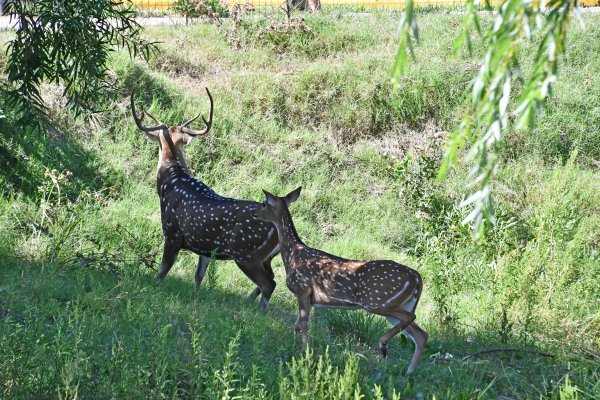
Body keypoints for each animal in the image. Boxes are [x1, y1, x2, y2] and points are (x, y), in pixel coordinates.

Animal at [131, 88, 282, 310]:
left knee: (269, 283)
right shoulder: (205, 247)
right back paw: (248, 302)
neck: (171, 182)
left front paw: (153, 289)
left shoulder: (172, 232)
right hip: (265, 257)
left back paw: (258, 311)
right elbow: (198, 276)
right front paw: (196, 297)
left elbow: (162, 270)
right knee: (272, 279)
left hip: (247, 254)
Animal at [253, 188, 426, 376]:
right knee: (421, 334)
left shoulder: (302, 288)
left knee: (412, 319)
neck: (292, 254)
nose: (254, 213)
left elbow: (304, 325)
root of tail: (417, 278)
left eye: (264, 203)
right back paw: (409, 372)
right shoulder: (309, 298)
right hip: (398, 305)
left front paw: (303, 352)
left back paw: (383, 344)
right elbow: (297, 325)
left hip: (376, 300)